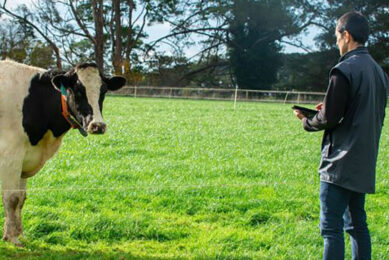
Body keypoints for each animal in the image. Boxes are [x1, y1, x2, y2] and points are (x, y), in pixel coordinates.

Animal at [0, 60, 124, 247]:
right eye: (78, 90)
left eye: (103, 91)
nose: (98, 125)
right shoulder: (11, 155)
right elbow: (12, 198)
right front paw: (12, 238)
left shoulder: (26, 158)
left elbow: (21, 198)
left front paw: (19, 233)